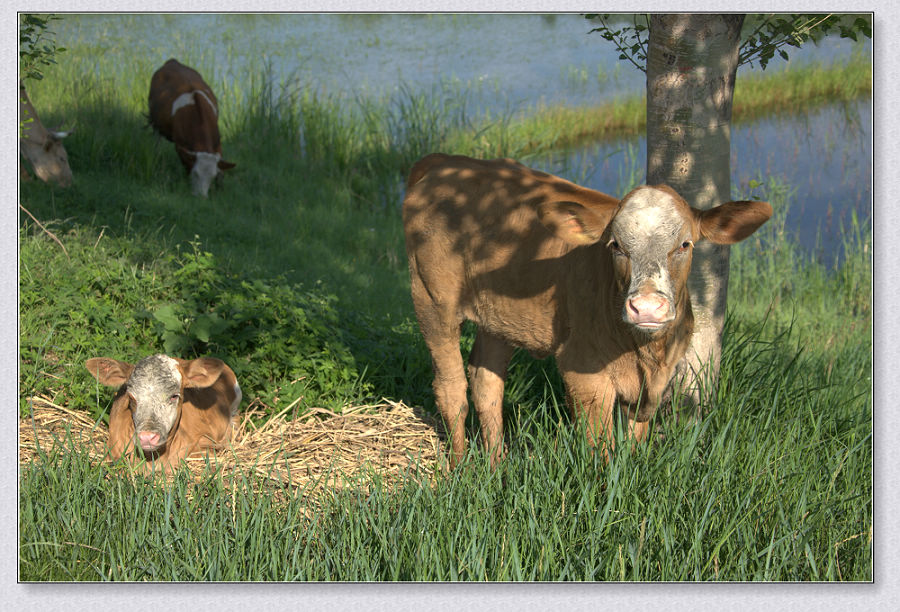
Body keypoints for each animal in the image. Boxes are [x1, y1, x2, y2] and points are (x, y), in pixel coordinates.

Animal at [148, 57, 234, 196]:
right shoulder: (180, 146)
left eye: (212, 176)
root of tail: (173, 61)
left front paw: (220, 188)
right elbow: (186, 164)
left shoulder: (217, 143)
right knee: (157, 140)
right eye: (195, 173)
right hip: (155, 122)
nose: (201, 197)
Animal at [402, 154, 772, 468]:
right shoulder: (584, 374)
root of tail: (445, 162)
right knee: (451, 387)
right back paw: (459, 468)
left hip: (496, 317)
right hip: (432, 300)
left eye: (685, 244)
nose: (647, 308)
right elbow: (601, 449)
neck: (645, 352)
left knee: (486, 381)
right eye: (616, 245)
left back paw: (496, 466)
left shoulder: (651, 387)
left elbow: (633, 444)